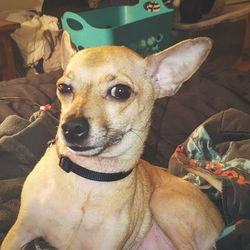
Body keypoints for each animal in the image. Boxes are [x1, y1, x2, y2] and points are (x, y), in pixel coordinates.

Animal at [1, 32, 224, 249]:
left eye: (120, 91)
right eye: (63, 88)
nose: (71, 128)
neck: (87, 176)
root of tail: (221, 221)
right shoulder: (20, 231)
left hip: (161, 201)